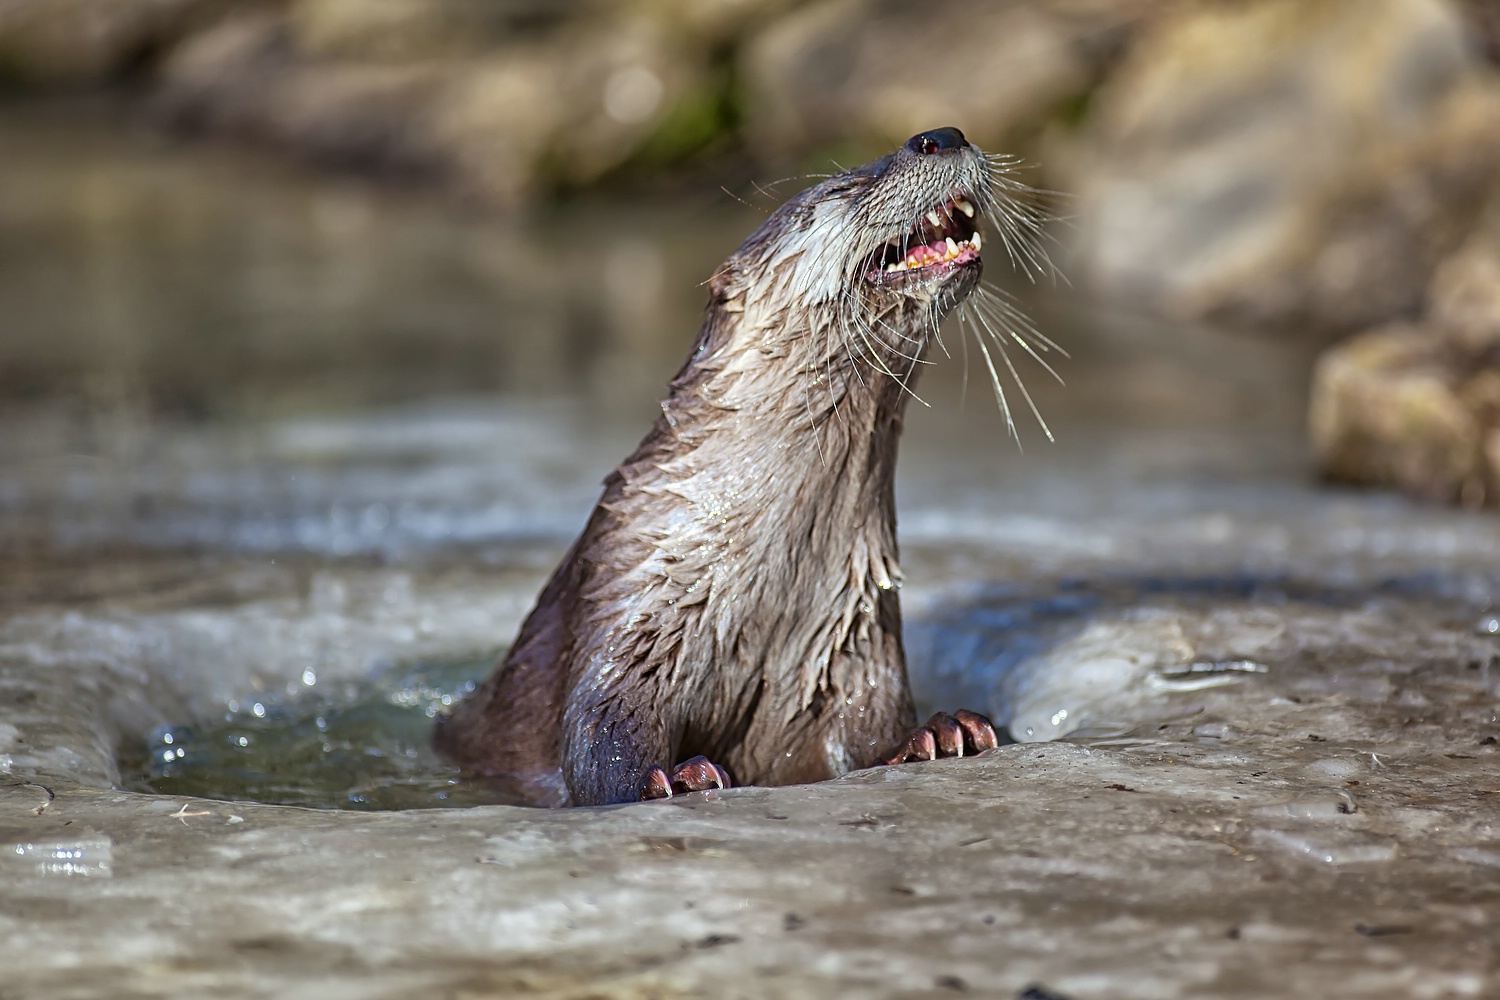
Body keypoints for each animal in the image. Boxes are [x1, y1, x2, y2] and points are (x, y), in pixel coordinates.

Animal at [438, 128, 1044, 809]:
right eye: (845, 186)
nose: (941, 136)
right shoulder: (627, 594)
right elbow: (600, 732)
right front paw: (676, 779)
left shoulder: (855, 629)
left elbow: (867, 731)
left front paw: (938, 733)